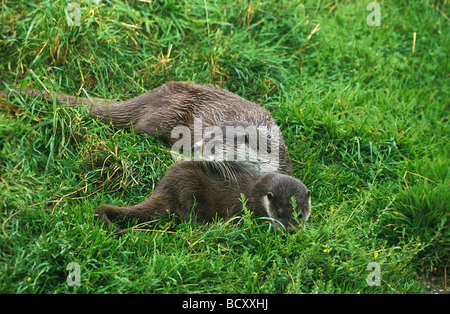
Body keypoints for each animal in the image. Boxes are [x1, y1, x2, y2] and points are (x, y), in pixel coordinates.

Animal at [95, 161, 312, 234]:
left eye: (301, 215)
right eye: (279, 214)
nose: (291, 231)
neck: (255, 192)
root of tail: (163, 187)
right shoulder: (240, 205)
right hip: (187, 188)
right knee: (188, 218)